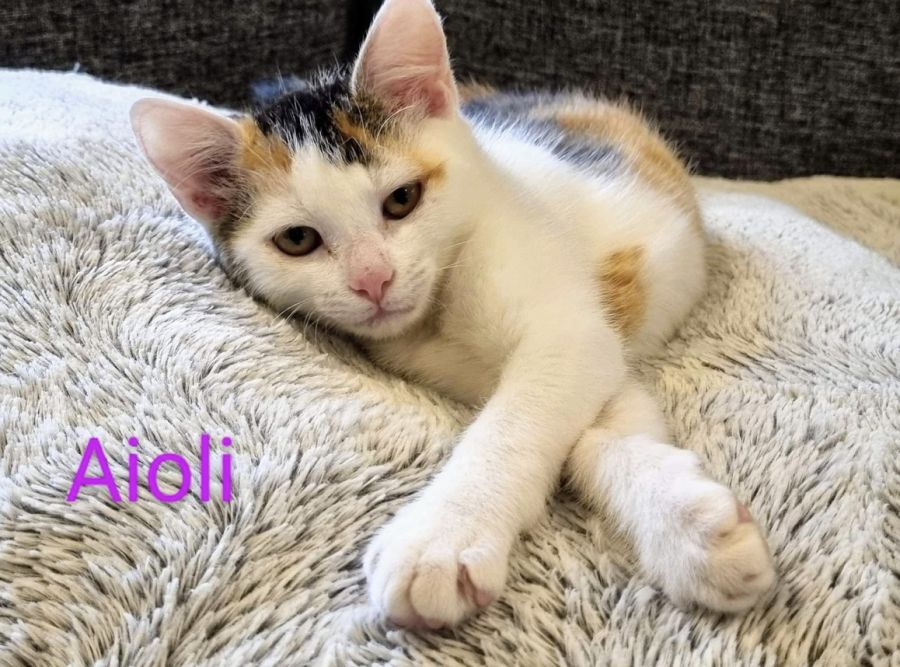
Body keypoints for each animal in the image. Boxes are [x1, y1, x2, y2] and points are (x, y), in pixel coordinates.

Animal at [130, 0, 775, 629]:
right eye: (297, 240)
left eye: (401, 200)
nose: (373, 280)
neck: (436, 312)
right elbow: (598, 427)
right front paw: (686, 523)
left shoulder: (566, 328)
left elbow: (522, 418)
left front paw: (442, 535)